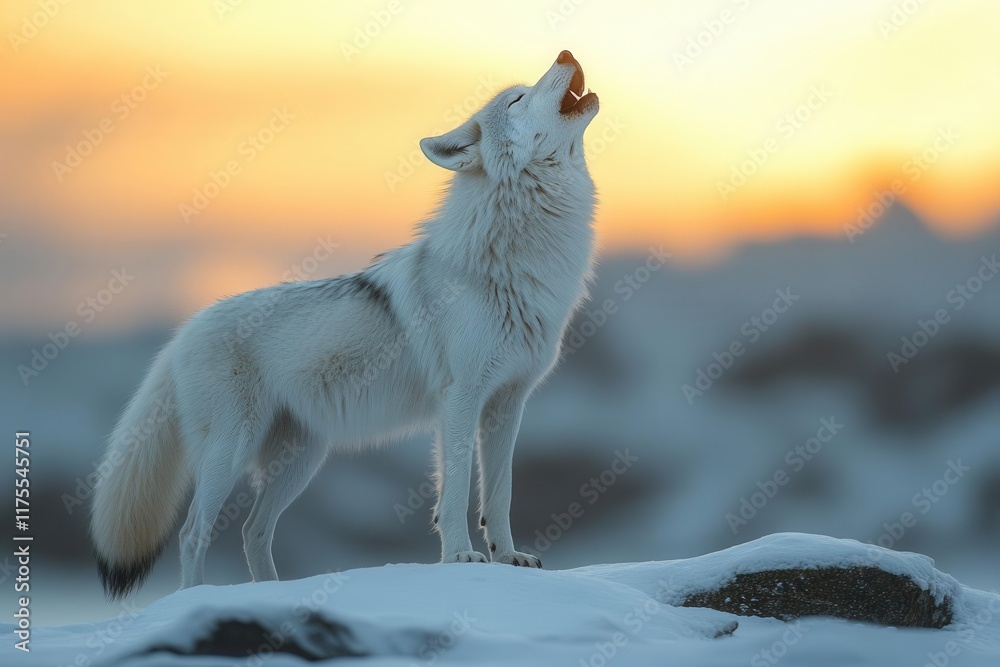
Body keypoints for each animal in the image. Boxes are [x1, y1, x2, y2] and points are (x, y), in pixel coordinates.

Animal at [90, 50, 600, 599]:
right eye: (518, 99)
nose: (567, 54)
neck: (514, 263)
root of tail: (183, 332)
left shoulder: (507, 404)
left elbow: (500, 494)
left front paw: (507, 559)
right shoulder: (460, 399)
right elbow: (458, 488)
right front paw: (461, 558)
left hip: (301, 460)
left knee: (252, 531)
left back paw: (272, 593)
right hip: (231, 451)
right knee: (192, 532)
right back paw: (196, 598)